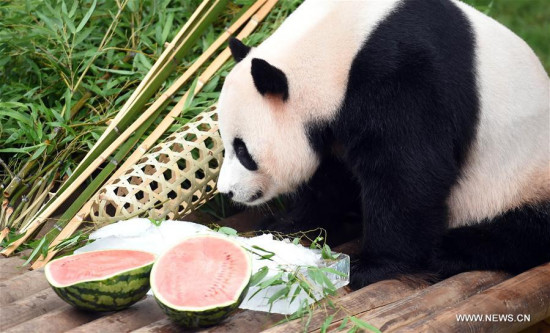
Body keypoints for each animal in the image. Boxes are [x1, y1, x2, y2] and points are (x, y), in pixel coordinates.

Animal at [217, 0, 550, 288]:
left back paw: (452, 249)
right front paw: (285, 225)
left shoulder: (406, 75)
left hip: (518, 178)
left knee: (524, 228)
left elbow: (408, 175)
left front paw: (371, 266)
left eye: (243, 151)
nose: (228, 191)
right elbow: (333, 178)